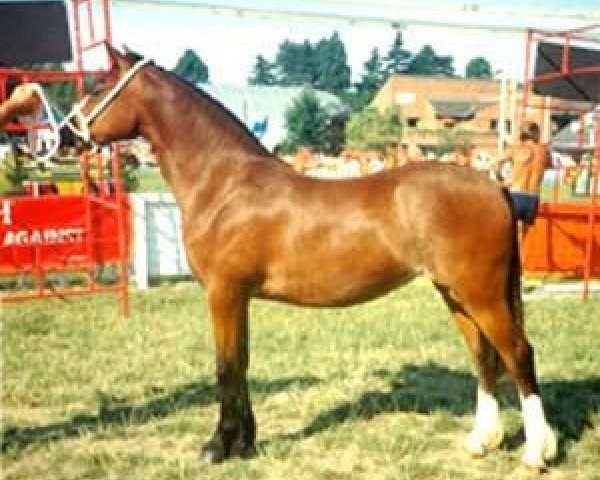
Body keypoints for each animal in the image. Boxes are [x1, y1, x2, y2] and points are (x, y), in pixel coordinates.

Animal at [68, 47, 556, 470]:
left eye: (97, 87)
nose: (64, 135)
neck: (224, 183)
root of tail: (495, 186)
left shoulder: (223, 294)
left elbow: (226, 367)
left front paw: (217, 447)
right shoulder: (238, 298)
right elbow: (241, 362)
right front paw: (245, 443)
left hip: (480, 294)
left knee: (518, 353)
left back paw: (536, 452)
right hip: (455, 294)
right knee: (484, 358)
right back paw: (481, 442)